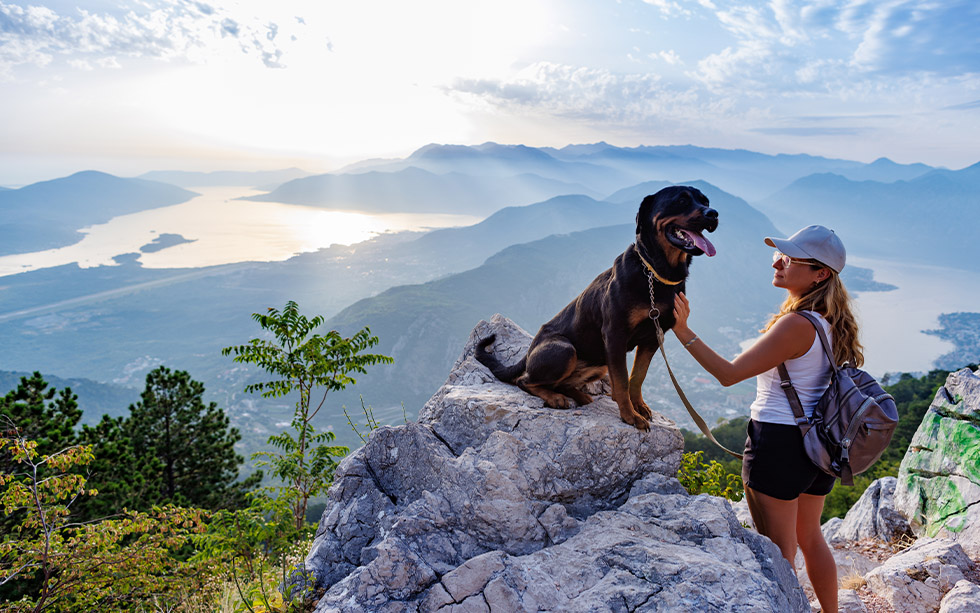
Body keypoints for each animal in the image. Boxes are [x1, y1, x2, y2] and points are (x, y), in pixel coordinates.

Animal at [476, 186, 720, 430]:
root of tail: (528, 352)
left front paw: (638, 406)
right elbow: (621, 381)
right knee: (525, 381)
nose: (714, 214)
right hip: (565, 350)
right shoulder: (615, 335)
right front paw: (630, 415)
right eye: (681, 201)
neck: (654, 273)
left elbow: (637, 377)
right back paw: (555, 398)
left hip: (600, 363)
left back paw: (578, 395)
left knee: (559, 383)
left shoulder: (653, 337)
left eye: (705, 201)